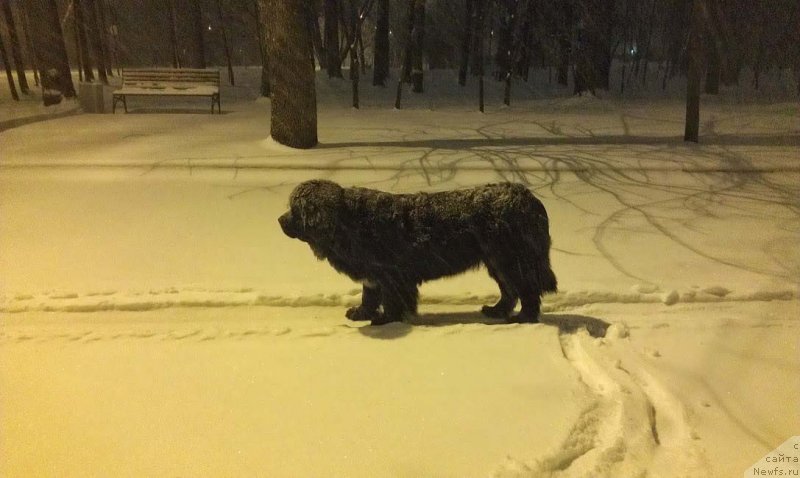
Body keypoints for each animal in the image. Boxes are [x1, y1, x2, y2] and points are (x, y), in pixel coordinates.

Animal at [280, 179, 556, 324]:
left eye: (294, 209)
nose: (279, 220)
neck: (347, 222)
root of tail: (528, 198)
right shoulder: (373, 274)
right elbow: (369, 296)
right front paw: (362, 313)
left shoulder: (390, 274)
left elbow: (391, 300)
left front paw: (385, 320)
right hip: (496, 261)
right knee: (509, 290)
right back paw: (497, 311)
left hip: (512, 259)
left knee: (527, 290)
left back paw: (524, 319)